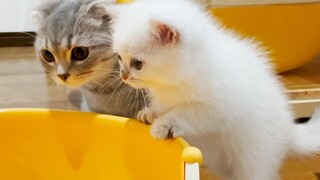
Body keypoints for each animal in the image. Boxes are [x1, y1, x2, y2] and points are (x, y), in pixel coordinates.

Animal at [112, 0, 320, 179]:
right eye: (119, 58)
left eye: (137, 63)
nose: (123, 75)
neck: (174, 81)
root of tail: (288, 129)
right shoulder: (164, 97)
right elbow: (162, 105)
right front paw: (150, 113)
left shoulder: (219, 109)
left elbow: (186, 111)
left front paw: (163, 124)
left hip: (252, 155)